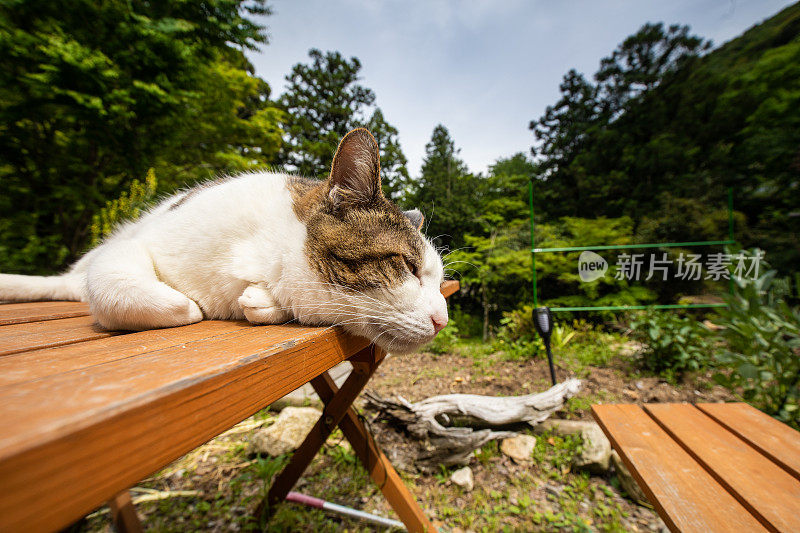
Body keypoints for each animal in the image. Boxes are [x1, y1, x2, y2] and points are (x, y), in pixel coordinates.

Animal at [0, 128, 450, 354]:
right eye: (407, 266)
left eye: (439, 282)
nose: (443, 320)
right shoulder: (135, 247)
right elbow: (131, 290)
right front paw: (188, 304)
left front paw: (261, 302)